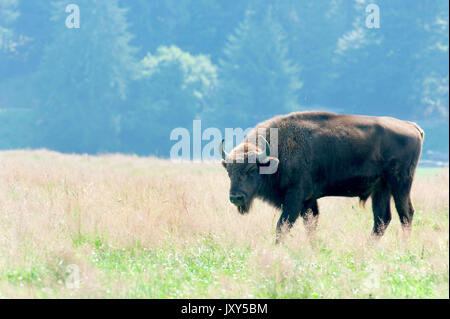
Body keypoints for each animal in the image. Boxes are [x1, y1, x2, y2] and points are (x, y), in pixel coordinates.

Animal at [220, 112, 424, 242]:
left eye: (251, 170)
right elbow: (311, 226)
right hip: (380, 188)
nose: (236, 197)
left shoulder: (295, 198)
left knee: (406, 214)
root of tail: (412, 127)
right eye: (229, 171)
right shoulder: (309, 202)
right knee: (382, 219)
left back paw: (404, 247)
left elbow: (282, 226)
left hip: (400, 184)